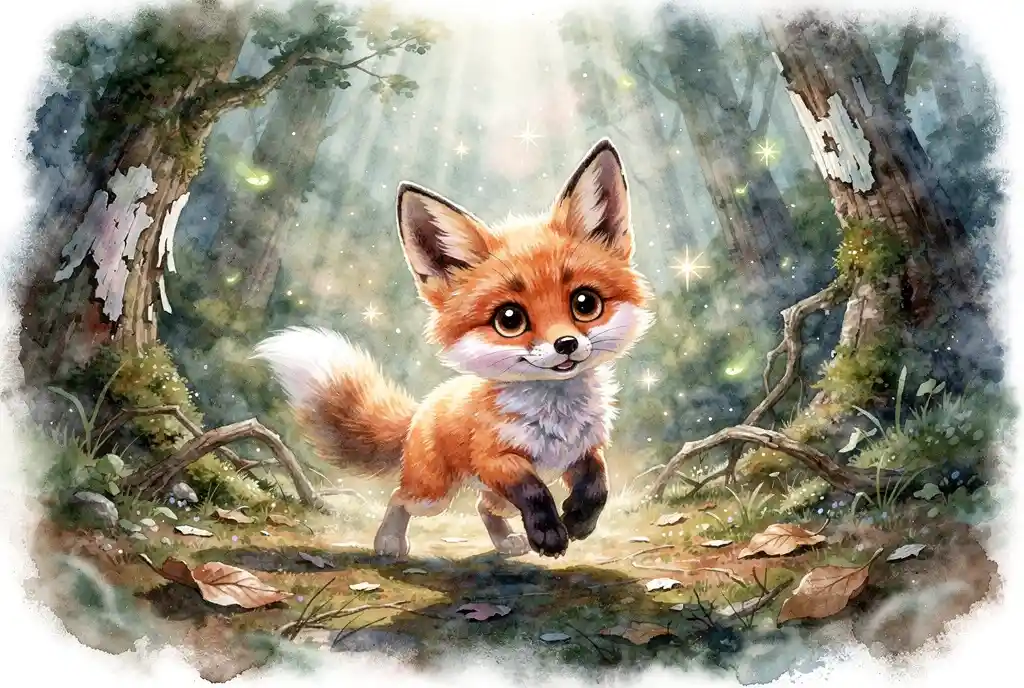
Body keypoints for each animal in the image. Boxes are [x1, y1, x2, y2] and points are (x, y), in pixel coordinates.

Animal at [253, 138, 653, 559]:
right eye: (509, 319)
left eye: (585, 303)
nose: (566, 344)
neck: (556, 421)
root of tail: (420, 411)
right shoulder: (496, 459)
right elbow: (534, 490)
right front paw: (549, 532)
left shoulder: (584, 450)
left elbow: (598, 485)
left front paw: (579, 519)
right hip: (434, 495)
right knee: (400, 497)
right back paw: (389, 541)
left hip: (487, 496)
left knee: (481, 506)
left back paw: (505, 541)